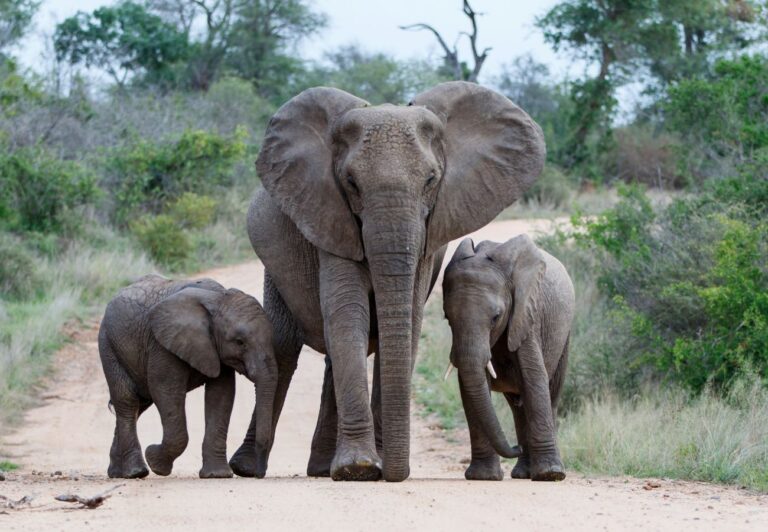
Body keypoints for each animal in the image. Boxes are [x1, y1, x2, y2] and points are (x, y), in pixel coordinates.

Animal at [99, 276, 278, 480]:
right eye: (240, 342)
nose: (258, 474)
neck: (218, 298)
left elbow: (221, 395)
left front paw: (216, 475)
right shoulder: (162, 343)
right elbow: (166, 390)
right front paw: (155, 462)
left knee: (139, 403)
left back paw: (117, 473)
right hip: (109, 344)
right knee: (127, 400)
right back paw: (135, 472)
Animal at [228, 80, 544, 482]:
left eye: (431, 180)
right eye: (351, 183)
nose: (396, 472)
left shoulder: (429, 236)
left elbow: (405, 323)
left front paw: (368, 466)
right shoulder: (331, 218)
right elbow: (349, 316)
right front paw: (359, 468)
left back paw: (321, 468)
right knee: (284, 347)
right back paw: (250, 467)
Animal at [440, 235, 572, 480]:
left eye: (496, 317)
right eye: (447, 318)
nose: (515, 447)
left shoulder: (526, 316)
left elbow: (534, 377)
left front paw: (550, 475)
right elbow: (470, 388)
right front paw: (484, 477)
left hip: (564, 336)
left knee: (551, 394)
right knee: (518, 406)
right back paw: (523, 472)